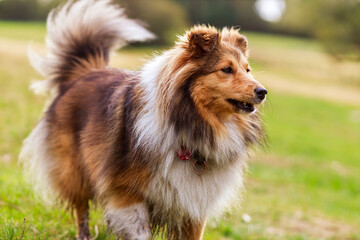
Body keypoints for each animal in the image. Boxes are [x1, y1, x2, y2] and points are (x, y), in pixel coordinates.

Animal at [19, 0, 268, 240]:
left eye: (247, 69)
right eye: (226, 69)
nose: (263, 91)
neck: (194, 125)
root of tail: (83, 72)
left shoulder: (193, 204)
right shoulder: (127, 193)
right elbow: (140, 232)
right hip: (74, 171)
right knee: (82, 209)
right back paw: (84, 236)